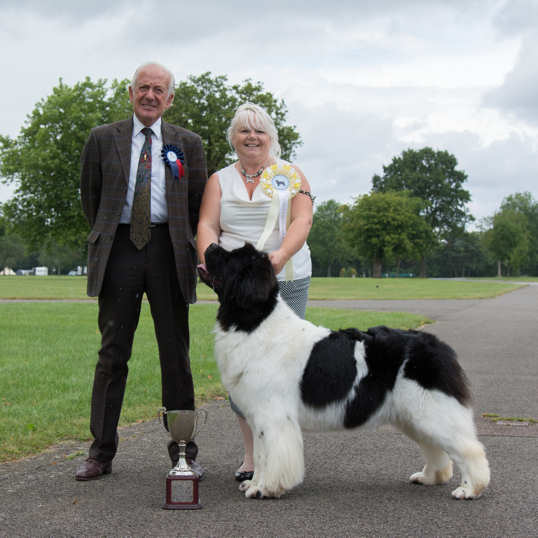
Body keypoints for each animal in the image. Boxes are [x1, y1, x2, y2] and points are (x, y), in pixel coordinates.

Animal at [199, 242, 488, 498]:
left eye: (231, 256)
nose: (210, 245)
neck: (254, 321)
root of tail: (438, 345)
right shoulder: (259, 415)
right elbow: (260, 455)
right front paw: (254, 483)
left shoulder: (273, 416)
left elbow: (272, 456)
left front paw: (265, 488)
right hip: (414, 415)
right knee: (435, 448)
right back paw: (429, 477)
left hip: (432, 410)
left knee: (469, 448)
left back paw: (470, 489)